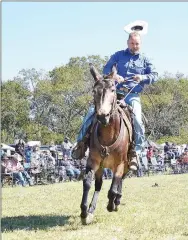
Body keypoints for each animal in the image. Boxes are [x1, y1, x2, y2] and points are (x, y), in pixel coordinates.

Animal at [80, 64, 133, 225]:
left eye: (113, 90)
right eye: (94, 91)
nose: (103, 115)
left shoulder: (120, 164)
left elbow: (113, 187)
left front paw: (111, 204)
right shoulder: (94, 161)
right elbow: (88, 183)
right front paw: (84, 212)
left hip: (126, 164)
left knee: (120, 181)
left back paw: (116, 202)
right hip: (102, 166)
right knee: (99, 185)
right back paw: (91, 210)